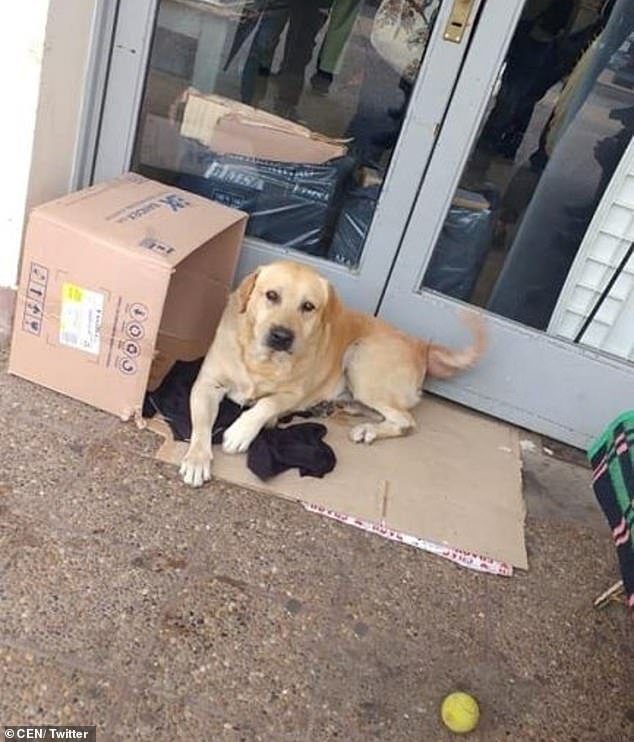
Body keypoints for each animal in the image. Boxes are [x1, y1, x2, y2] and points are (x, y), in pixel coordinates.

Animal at [178, 262, 484, 488]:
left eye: (308, 306)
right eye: (271, 295)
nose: (282, 336)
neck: (261, 361)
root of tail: (420, 345)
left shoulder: (293, 393)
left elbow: (267, 404)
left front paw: (242, 431)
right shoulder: (206, 384)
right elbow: (202, 426)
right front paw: (197, 459)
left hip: (361, 359)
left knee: (406, 420)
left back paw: (368, 429)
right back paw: (342, 411)